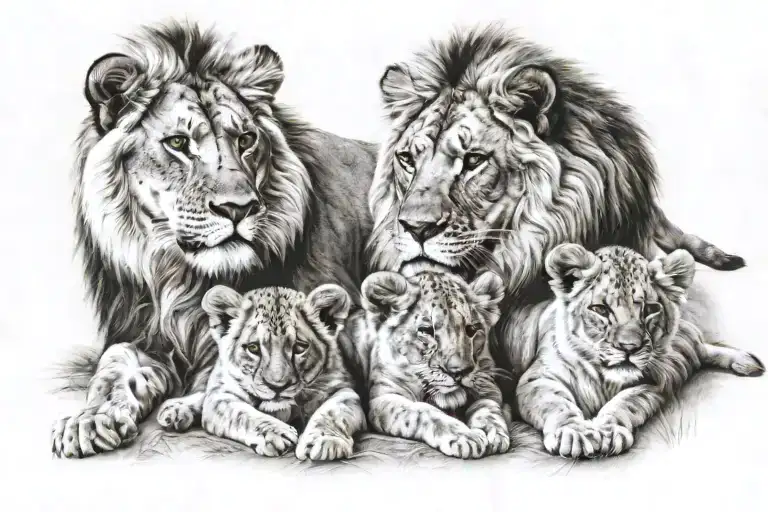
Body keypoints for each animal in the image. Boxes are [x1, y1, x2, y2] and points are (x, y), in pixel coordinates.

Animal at [51, 21, 376, 458]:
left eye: (246, 140)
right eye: (178, 143)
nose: (239, 208)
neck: (184, 277)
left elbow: (221, 375)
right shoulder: (143, 334)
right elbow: (112, 368)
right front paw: (87, 420)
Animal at [514, 244, 763, 459]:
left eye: (651, 309)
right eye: (600, 310)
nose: (629, 347)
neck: (604, 380)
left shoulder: (653, 382)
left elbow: (627, 401)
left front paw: (608, 432)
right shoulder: (537, 377)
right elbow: (555, 402)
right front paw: (574, 433)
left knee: (700, 346)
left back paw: (747, 362)